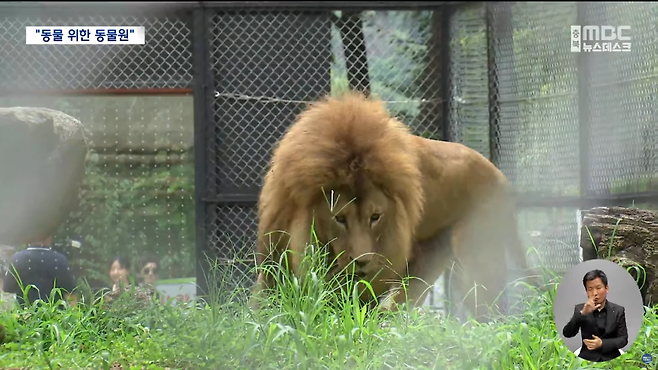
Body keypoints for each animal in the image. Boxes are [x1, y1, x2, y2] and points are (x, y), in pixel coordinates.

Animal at [249, 90, 540, 320]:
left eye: (375, 217)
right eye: (340, 218)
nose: (363, 262)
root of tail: (500, 177)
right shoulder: (273, 255)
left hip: (477, 261)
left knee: (493, 315)